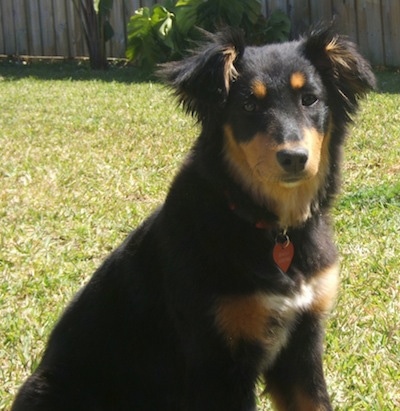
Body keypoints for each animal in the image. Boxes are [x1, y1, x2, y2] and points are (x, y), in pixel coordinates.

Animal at [11, 27, 376, 410]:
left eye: (310, 99)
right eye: (248, 105)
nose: (294, 158)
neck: (271, 227)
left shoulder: (302, 345)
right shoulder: (217, 358)